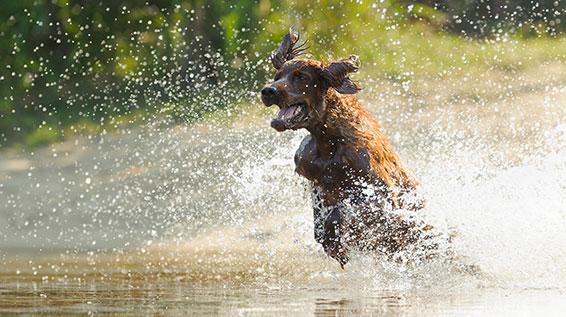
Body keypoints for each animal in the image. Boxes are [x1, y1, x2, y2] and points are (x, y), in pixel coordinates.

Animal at [260, 30, 438, 266]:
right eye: (277, 76)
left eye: (301, 77)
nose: (267, 91)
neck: (330, 140)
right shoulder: (315, 181)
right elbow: (321, 224)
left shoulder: (379, 195)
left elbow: (341, 210)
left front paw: (336, 242)